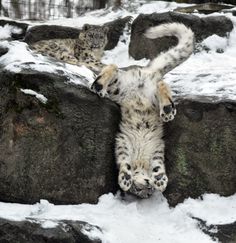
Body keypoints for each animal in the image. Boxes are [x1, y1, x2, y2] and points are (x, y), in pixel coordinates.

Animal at [90, 22, 194, 198]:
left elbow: (158, 165)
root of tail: (146, 72)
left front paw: (160, 180)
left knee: (157, 83)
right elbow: (124, 162)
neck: (141, 162)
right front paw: (125, 179)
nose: (148, 188)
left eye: (147, 191)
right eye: (138, 191)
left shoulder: (157, 150)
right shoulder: (123, 144)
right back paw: (99, 85)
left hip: (137, 91)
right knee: (115, 68)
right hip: (120, 88)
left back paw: (167, 109)